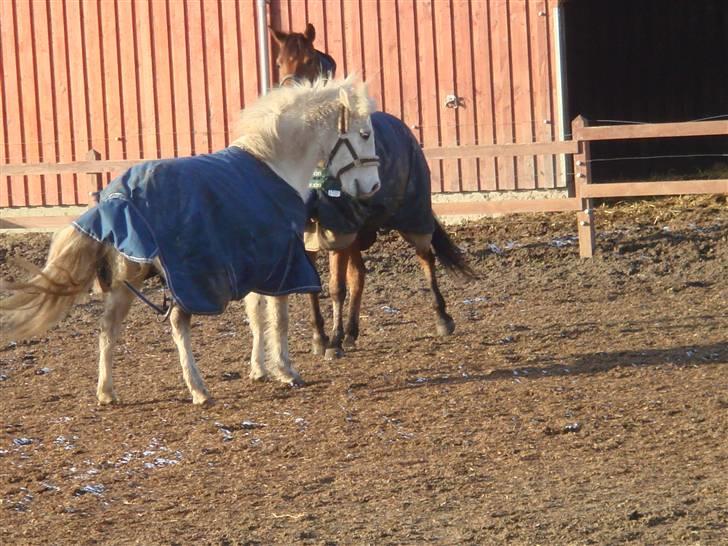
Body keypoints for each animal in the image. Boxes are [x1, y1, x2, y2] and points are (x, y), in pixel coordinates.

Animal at [0, 77, 381, 405]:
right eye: (364, 133)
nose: (373, 186)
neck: (274, 165)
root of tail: (114, 198)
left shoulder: (255, 266)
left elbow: (256, 316)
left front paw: (259, 370)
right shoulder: (281, 265)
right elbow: (279, 318)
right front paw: (286, 371)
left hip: (129, 279)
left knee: (108, 328)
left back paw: (107, 393)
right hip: (182, 278)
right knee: (176, 324)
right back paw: (198, 389)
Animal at [270, 25, 475, 359]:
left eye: (309, 61)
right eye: (279, 63)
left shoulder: (339, 230)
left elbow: (336, 287)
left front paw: (333, 342)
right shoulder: (312, 232)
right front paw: (320, 337)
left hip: (411, 215)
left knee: (426, 257)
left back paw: (442, 317)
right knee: (360, 275)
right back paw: (352, 331)